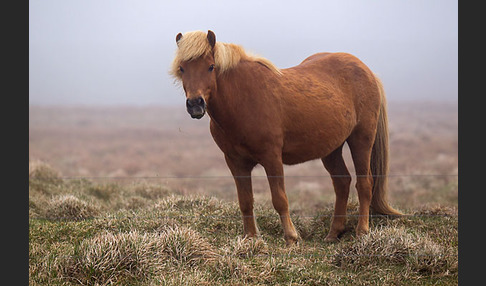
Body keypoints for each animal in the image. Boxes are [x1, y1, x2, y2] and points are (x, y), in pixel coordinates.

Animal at [169, 30, 400, 246]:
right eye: (182, 68)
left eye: (210, 66)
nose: (195, 104)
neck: (244, 100)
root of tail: (366, 70)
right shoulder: (235, 162)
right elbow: (245, 201)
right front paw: (251, 238)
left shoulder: (271, 157)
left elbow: (279, 199)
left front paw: (291, 237)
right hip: (331, 149)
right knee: (342, 182)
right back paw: (333, 233)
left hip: (361, 140)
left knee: (365, 183)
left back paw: (362, 231)